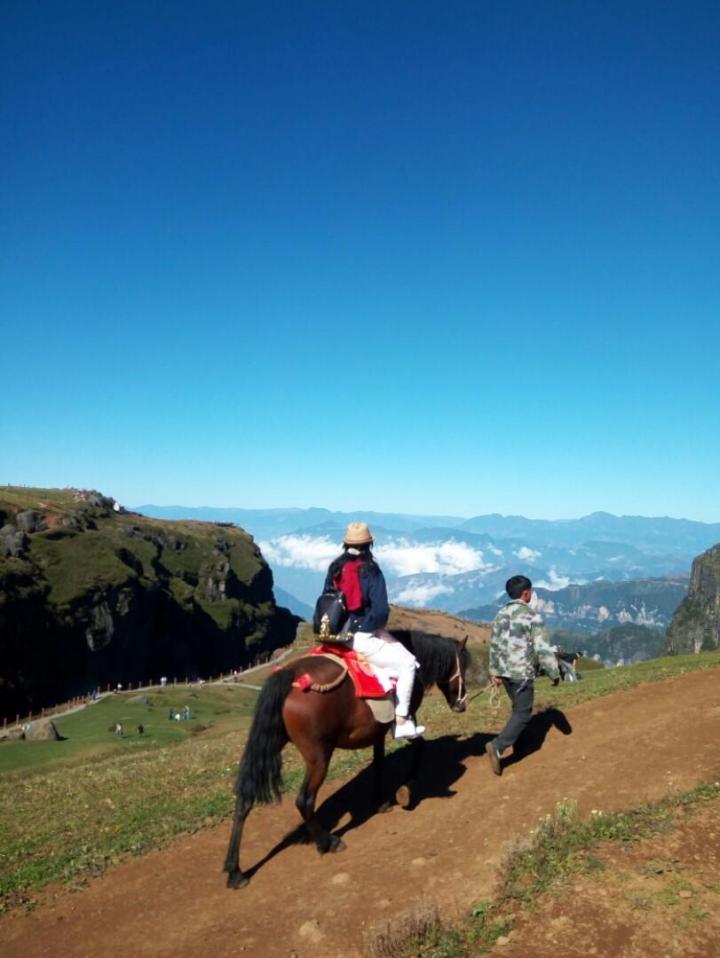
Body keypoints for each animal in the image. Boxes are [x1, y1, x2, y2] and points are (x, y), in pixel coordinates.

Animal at [223, 630, 470, 888]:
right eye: (463, 666)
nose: (462, 704)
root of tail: (288, 674)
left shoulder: (376, 731)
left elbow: (379, 763)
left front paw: (381, 801)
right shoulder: (405, 719)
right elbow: (418, 745)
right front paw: (409, 783)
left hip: (270, 744)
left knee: (244, 801)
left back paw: (235, 871)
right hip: (319, 756)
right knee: (304, 800)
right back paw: (327, 842)